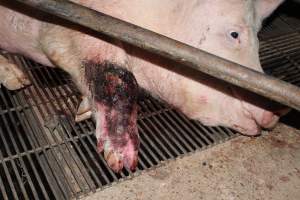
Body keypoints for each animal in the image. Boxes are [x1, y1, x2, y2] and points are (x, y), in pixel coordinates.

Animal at [0, 0, 286, 172]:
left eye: (260, 38)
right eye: (234, 34)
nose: (274, 112)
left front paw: (82, 112)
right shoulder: (72, 22)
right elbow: (120, 76)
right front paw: (122, 160)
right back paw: (18, 80)